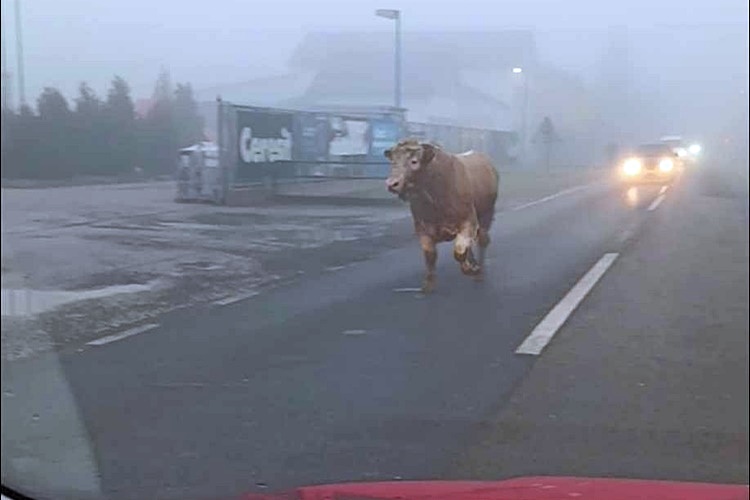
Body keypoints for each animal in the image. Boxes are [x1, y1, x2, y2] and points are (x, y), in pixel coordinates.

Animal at [388, 139, 500, 292]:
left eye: (414, 161)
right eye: (393, 161)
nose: (392, 184)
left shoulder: (469, 221)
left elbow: (459, 252)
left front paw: (470, 269)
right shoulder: (422, 228)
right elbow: (430, 255)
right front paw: (429, 284)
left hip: (486, 215)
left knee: (482, 240)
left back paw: (479, 273)